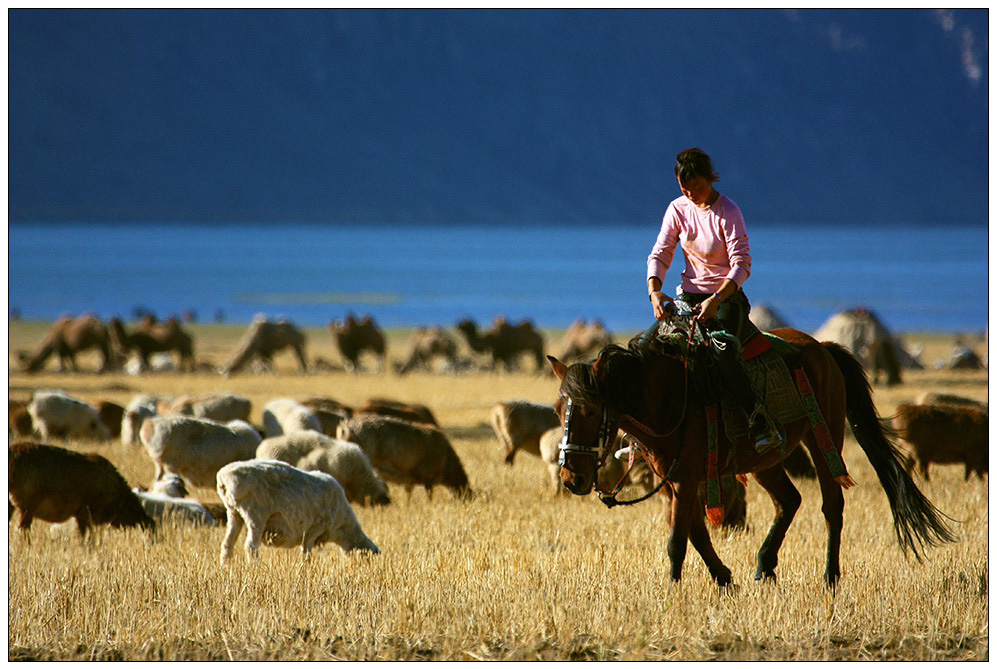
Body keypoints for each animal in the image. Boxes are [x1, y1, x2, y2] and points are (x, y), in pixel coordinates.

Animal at [216, 460, 380, 560]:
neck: (343, 526)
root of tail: (224, 477)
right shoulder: (314, 529)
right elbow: (306, 553)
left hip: (234, 513)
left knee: (227, 544)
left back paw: (226, 566)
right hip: (255, 515)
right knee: (251, 547)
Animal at [548, 326, 952, 588]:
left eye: (589, 410)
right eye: (556, 410)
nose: (571, 479)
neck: (666, 398)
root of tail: (822, 347)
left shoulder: (685, 476)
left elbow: (678, 538)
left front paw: (673, 590)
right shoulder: (675, 480)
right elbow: (695, 531)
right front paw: (724, 578)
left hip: (824, 439)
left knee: (831, 506)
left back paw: (830, 577)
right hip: (766, 460)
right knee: (789, 500)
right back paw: (764, 567)